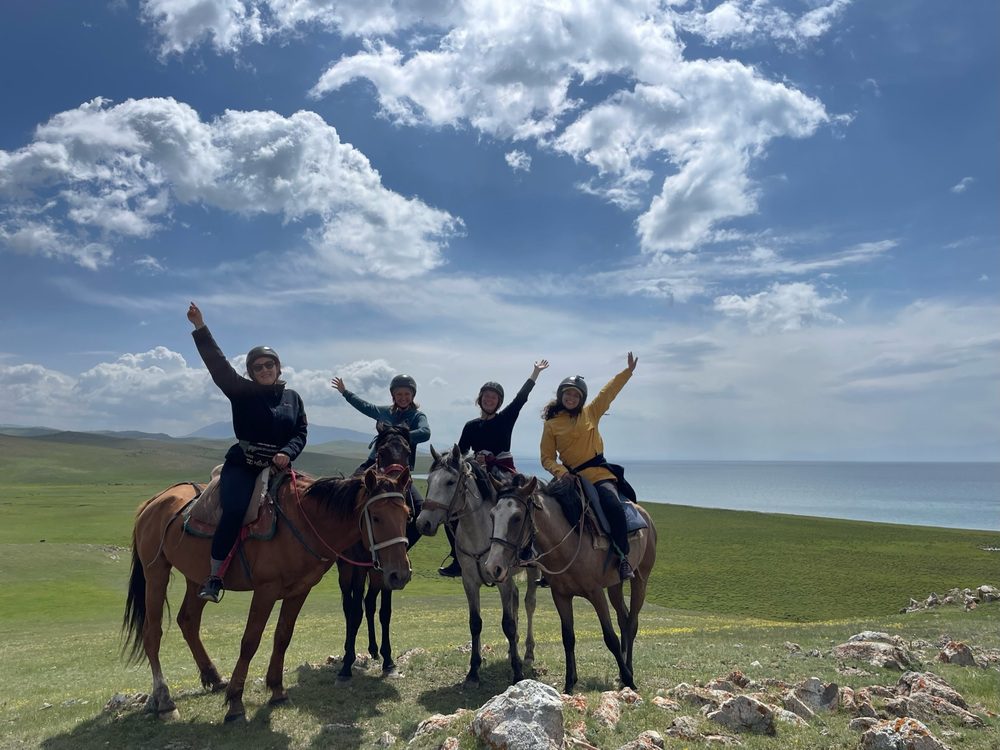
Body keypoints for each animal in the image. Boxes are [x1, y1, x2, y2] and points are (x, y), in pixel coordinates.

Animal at [123, 470, 412, 724]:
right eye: (376, 517)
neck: (304, 521)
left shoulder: (299, 590)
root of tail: (153, 502)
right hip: (156, 573)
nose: (400, 574)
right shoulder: (266, 590)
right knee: (152, 633)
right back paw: (165, 702)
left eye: (407, 515)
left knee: (188, 621)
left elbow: (282, 637)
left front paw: (277, 691)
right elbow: (250, 641)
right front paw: (236, 704)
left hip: (196, 577)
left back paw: (214, 678)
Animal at [334, 424, 416, 680]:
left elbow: (384, 611)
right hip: (346, 569)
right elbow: (354, 611)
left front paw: (388, 660)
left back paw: (373, 649)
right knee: (349, 604)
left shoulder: (390, 570)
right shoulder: (359, 568)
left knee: (369, 603)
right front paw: (347, 664)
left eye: (407, 516)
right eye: (381, 451)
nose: (399, 480)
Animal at [416, 444, 540, 692]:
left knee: (528, 603)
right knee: (516, 600)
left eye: (450, 482)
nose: (423, 523)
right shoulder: (470, 582)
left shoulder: (502, 581)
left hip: (531, 570)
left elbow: (508, 624)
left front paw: (517, 672)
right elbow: (475, 623)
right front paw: (473, 671)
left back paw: (528, 653)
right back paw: (513, 649)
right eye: (429, 480)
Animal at [482, 478, 656, 696]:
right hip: (615, 585)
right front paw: (569, 684)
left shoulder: (596, 593)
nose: (492, 567)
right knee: (623, 619)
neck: (568, 544)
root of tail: (645, 516)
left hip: (640, 579)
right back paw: (621, 671)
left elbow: (610, 637)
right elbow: (568, 638)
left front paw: (630, 681)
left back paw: (628, 671)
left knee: (631, 623)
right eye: (491, 515)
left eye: (517, 517)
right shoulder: (561, 596)